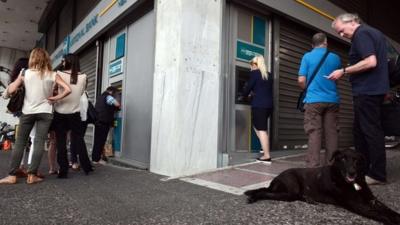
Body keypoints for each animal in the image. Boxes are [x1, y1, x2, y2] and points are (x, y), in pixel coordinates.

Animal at [244, 149, 400, 224]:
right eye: (343, 159)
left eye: (356, 160)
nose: (352, 172)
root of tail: (275, 179)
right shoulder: (356, 204)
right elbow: (378, 214)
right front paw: (391, 221)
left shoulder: (372, 200)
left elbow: (387, 210)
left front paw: (395, 216)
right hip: (290, 191)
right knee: (265, 193)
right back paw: (253, 197)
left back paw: (309, 199)